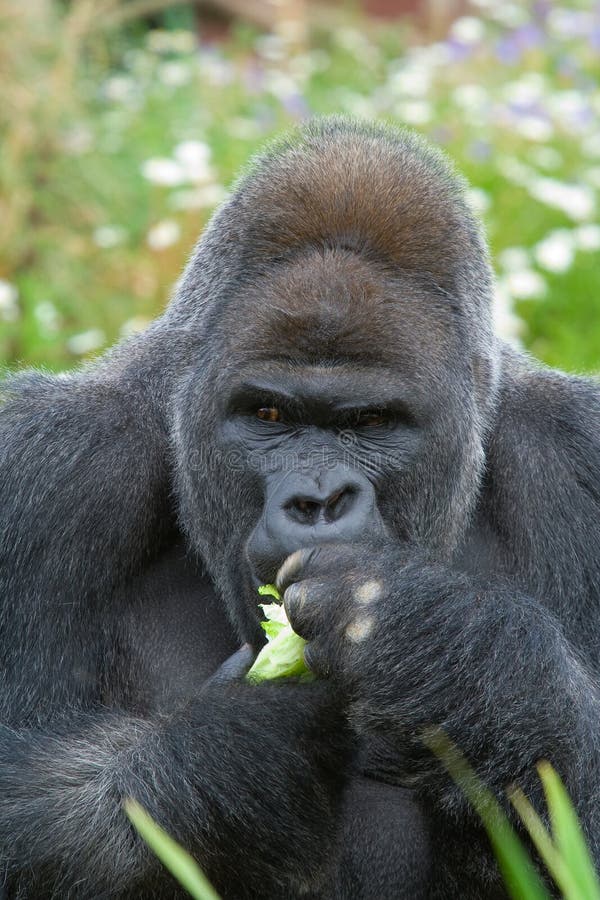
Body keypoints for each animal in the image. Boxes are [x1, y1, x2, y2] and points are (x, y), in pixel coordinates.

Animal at [1, 116, 600, 896]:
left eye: (371, 423)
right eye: (269, 414)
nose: (317, 499)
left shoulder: (577, 459)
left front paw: (451, 649)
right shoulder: (47, 473)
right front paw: (228, 761)